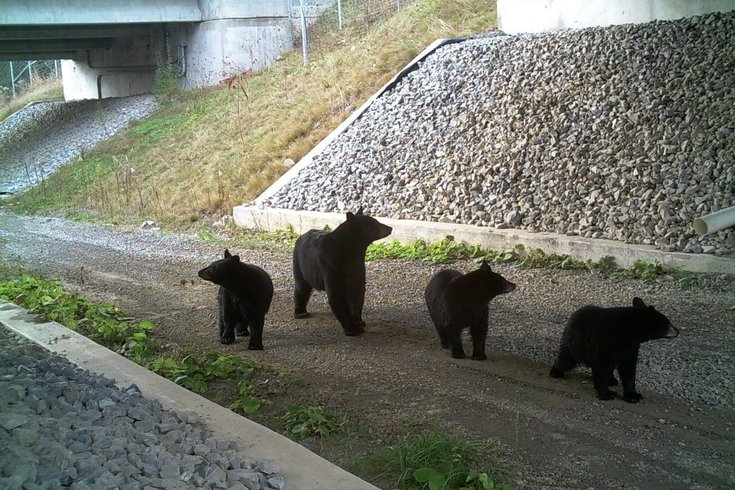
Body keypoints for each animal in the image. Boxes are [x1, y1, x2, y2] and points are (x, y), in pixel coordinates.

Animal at [292, 208, 392, 336]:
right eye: (374, 224)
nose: (390, 228)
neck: (351, 251)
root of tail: (301, 236)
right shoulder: (331, 265)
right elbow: (336, 296)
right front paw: (352, 329)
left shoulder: (357, 267)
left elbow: (357, 293)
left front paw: (358, 321)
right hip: (300, 265)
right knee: (301, 288)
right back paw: (300, 312)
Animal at [549, 297, 679, 403]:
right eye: (667, 324)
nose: (678, 331)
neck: (628, 332)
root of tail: (574, 313)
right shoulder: (604, 341)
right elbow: (601, 367)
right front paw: (606, 394)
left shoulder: (631, 347)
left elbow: (629, 369)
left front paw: (633, 395)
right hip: (575, 343)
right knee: (566, 359)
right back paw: (556, 372)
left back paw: (611, 380)